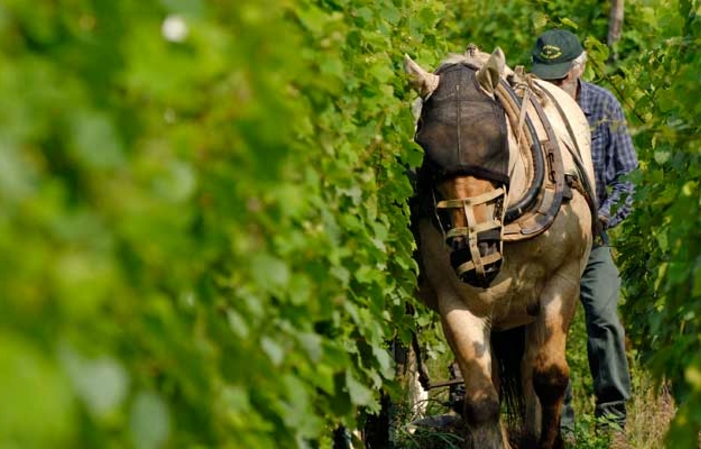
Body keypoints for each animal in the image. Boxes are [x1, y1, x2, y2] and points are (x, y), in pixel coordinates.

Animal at [404, 46, 596, 448]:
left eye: (494, 144)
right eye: (425, 150)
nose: (473, 251)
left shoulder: (562, 282)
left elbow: (549, 377)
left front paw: (549, 441)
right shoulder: (456, 303)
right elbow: (481, 401)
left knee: (531, 370)